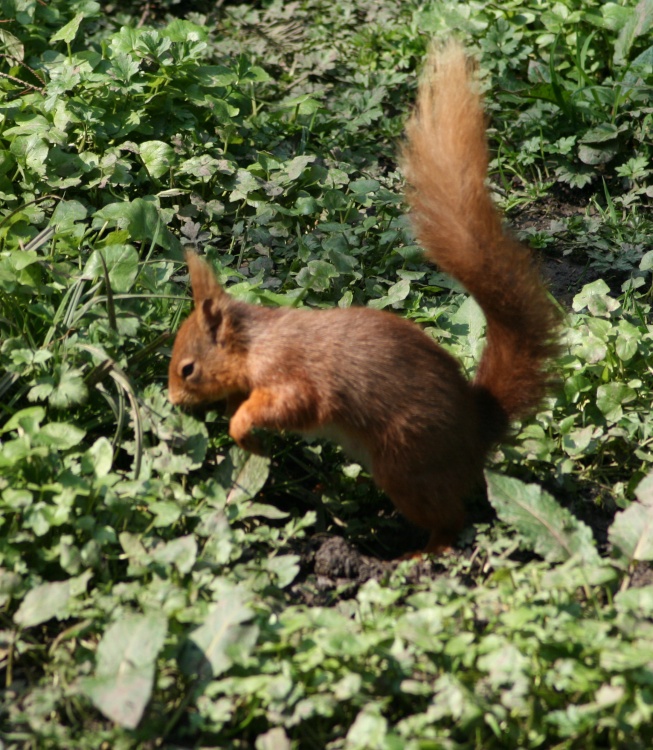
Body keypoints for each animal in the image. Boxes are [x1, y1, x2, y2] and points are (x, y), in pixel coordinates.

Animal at [168, 41, 560, 553]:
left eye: (187, 369)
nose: (172, 401)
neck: (256, 342)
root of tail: (478, 428)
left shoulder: (294, 373)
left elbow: (293, 403)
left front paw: (241, 426)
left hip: (406, 463)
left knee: (451, 519)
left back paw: (421, 553)